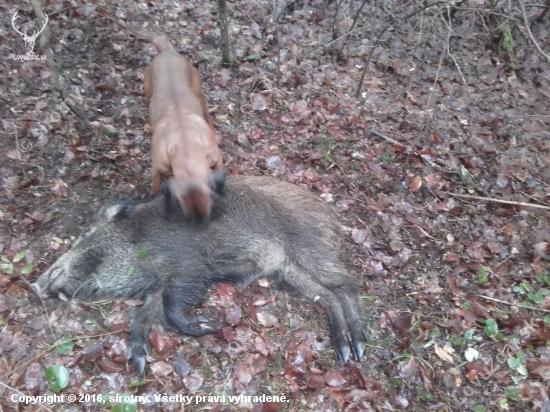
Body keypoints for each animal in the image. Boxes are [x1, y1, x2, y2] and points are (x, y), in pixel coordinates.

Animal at [147, 37, 226, 220]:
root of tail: (167, 51)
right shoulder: (158, 167)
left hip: (199, 95)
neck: (185, 144)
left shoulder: (217, 160)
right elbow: (155, 183)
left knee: (207, 115)